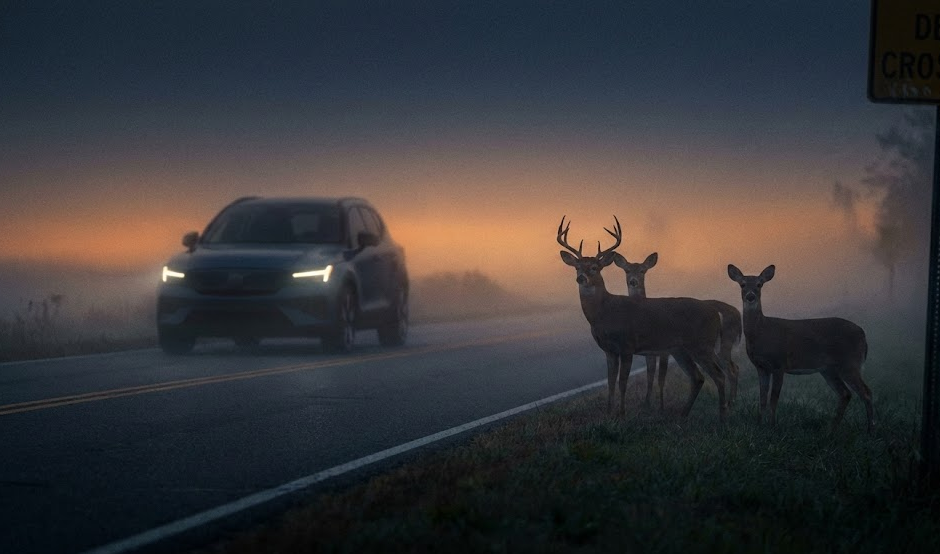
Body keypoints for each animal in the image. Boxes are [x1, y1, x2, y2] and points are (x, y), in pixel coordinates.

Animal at [558, 216, 728, 422]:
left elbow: (622, 382)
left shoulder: (627, 345)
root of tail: (715, 312)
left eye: (594, 267)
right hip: (681, 349)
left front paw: (622, 414)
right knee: (698, 377)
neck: (604, 314)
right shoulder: (609, 350)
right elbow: (611, 382)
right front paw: (609, 413)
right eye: (577, 267)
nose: (581, 278)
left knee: (719, 375)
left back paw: (722, 418)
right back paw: (682, 416)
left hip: (702, 345)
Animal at [612, 252, 743, 410]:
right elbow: (650, 374)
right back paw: (730, 402)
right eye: (627, 270)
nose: (633, 281)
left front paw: (659, 406)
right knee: (733, 367)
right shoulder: (651, 352)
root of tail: (737, 314)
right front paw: (648, 404)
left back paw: (731, 402)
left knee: (730, 369)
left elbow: (660, 377)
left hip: (720, 344)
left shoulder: (664, 351)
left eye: (643, 271)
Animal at [727, 264, 874, 433]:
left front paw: (772, 426)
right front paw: (759, 425)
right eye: (742, 284)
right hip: (828, 369)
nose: (750, 296)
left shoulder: (779, 363)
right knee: (845, 393)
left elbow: (774, 398)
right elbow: (762, 398)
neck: (762, 332)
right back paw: (831, 430)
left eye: (759, 284)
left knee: (866, 392)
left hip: (850, 362)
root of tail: (863, 334)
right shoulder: (761, 367)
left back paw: (870, 430)